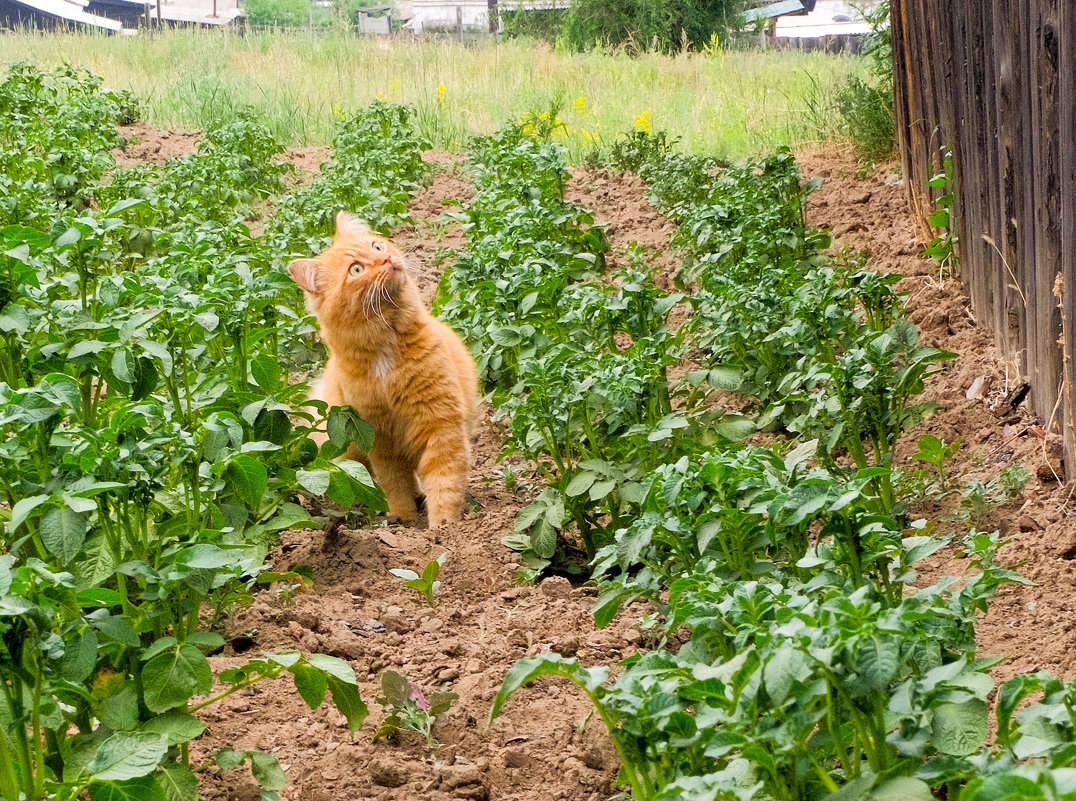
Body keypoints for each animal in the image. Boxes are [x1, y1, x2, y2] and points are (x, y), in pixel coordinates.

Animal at [292, 213, 482, 525]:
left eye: (377, 247)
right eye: (356, 269)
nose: (387, 258)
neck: (385, 347)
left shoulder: (440, 423)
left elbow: (445, 481)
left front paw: (443, 527)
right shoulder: (379, 437)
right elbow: (394, 482)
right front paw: (403, 519)